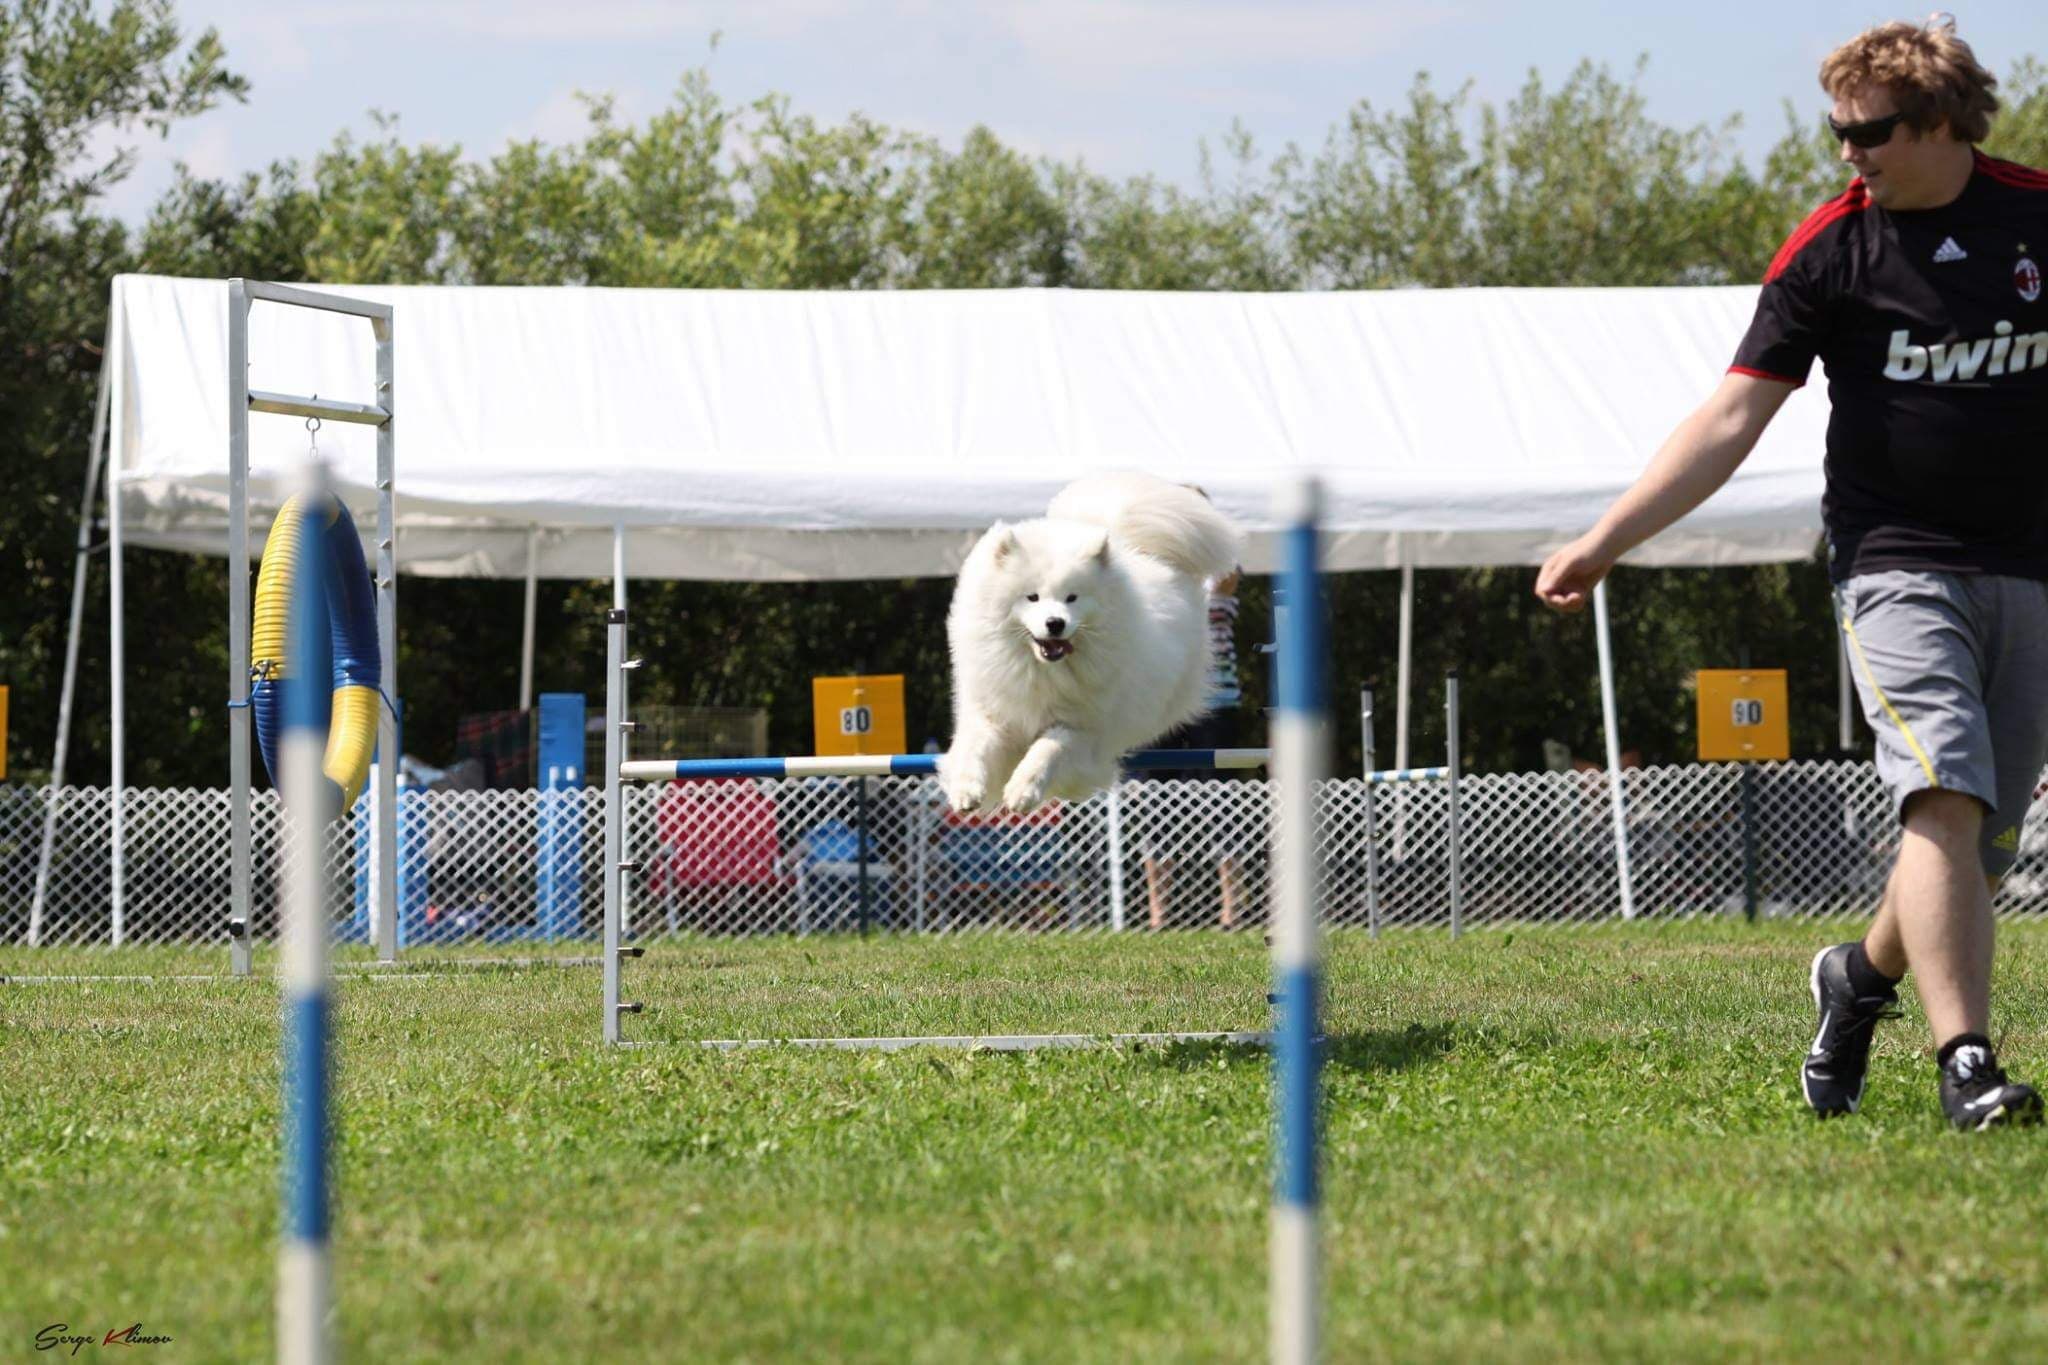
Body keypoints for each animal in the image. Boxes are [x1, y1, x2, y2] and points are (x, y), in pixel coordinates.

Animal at [937, 472, 1236, 810]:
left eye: (1072, 597)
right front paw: (965, 790)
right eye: (1032, 597)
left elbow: (1047, 750)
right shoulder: (992, 712)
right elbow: (973, 747)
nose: (1055, 623)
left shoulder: (1081, 729)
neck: (1042, 671)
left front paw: (1023, 791)